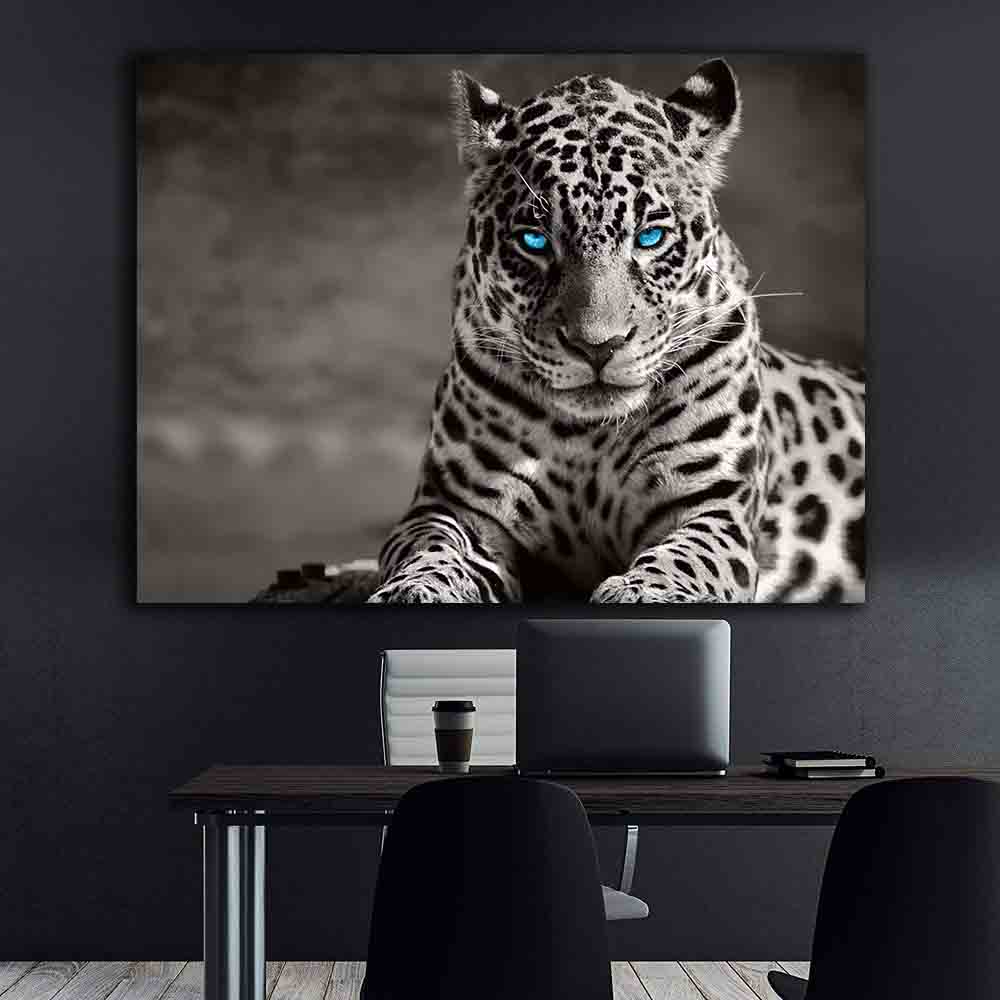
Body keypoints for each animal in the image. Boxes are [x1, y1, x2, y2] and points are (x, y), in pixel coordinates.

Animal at [368, 58, 865, 604]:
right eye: (534, 241)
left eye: (650, 237)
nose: (597, 347)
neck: (588, 437)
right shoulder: (453, 504)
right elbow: (432, 548)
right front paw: (413, 589)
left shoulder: (710, 508)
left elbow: (684, 558)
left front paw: (644, 592)